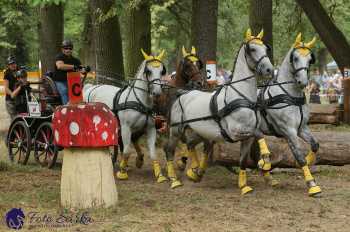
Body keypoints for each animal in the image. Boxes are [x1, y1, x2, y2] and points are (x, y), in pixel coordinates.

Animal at [83, 49, 168, 184]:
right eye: (148, 71)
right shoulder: (126, 128)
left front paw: (159, 175)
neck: (140, 101)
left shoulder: (150, 128)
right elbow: (127, 150)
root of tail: (91, 88)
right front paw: (122, 172)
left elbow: (152, 153)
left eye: (161, 71)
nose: (157, 92)